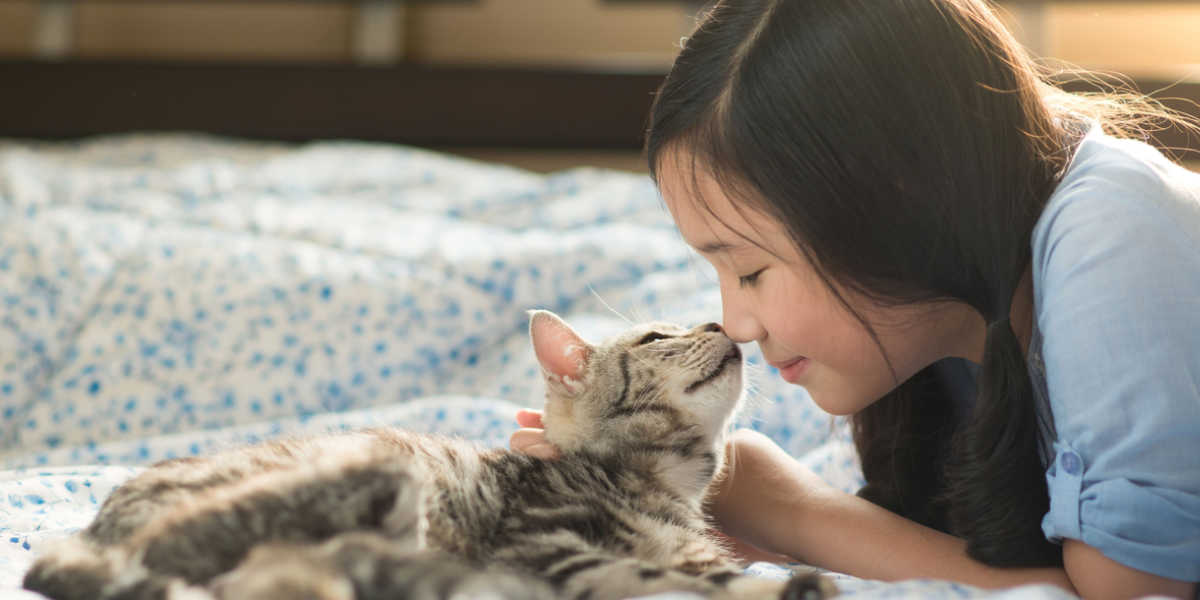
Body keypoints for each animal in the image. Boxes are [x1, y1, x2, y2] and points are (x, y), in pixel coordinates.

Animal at [25, 312, 835, 600]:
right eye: (657, 337)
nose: (720, 323)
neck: (665, 482)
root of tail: (93, 530)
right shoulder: (544, 545)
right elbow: (651, 577)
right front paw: (775, 590)